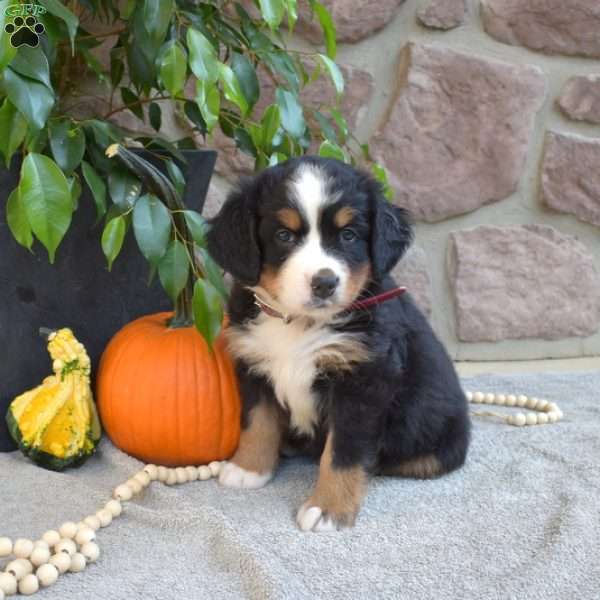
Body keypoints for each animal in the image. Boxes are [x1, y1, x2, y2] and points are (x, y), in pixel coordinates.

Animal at [209, 157, 472, 532]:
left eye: (349, 235)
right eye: (283, 236)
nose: (325, 282)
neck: (298, 324)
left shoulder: (363, 381)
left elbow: (343, 453)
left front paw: (329, 508)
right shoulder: (253, 363)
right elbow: (257, 421)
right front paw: (249, 469)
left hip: (436, 435)